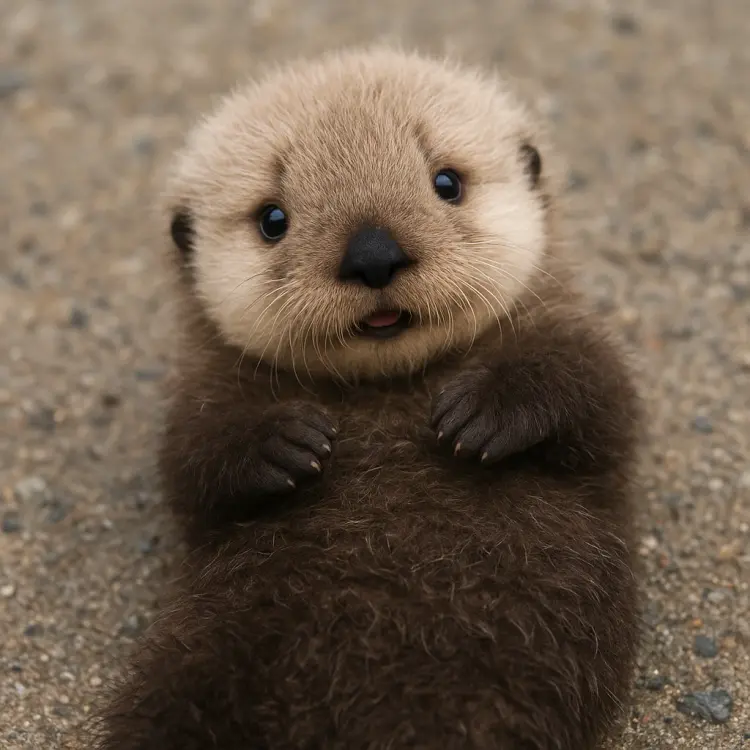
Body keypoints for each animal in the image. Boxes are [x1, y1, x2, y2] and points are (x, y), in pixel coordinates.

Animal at [92, 47, 641, 750]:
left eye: (446, 182)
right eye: (272, 219)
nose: (373, 254)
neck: (390, 389)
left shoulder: (573, 342)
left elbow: (599, 396)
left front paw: (483, 413)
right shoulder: (203, 394)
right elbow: (190, 462)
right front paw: (283, 444)